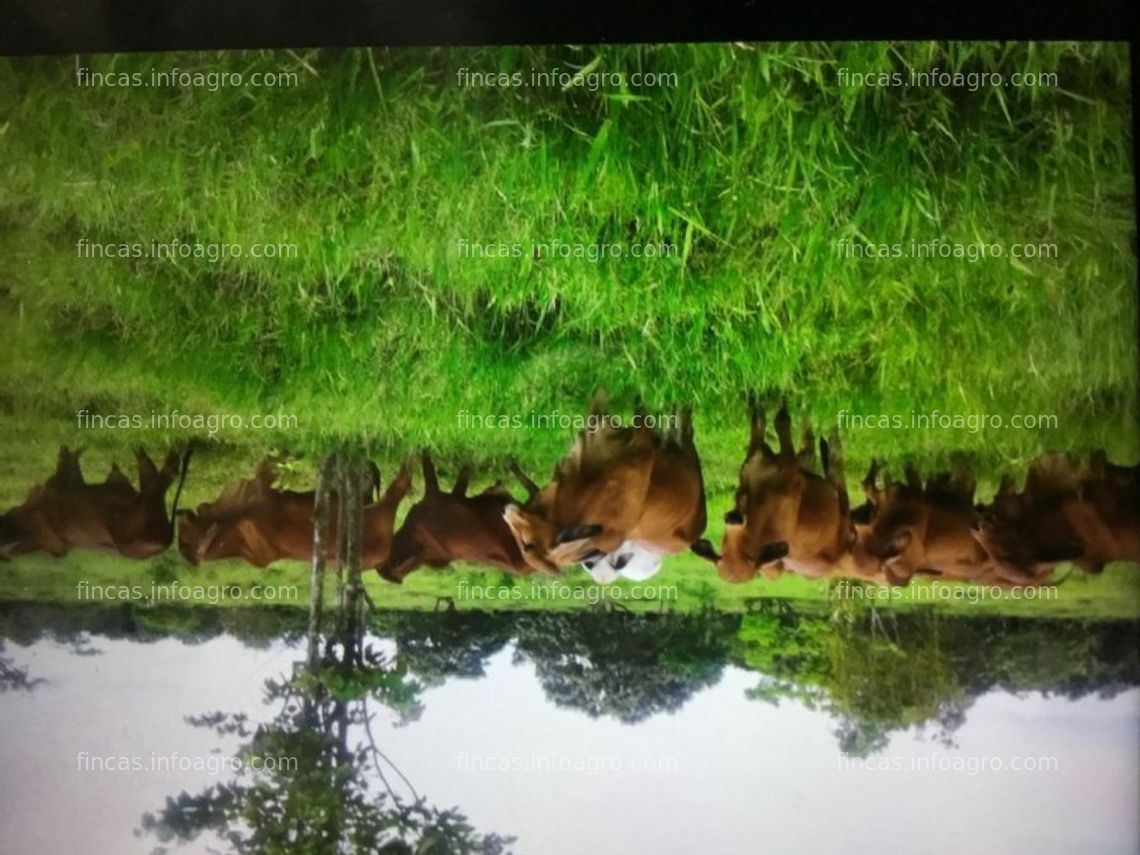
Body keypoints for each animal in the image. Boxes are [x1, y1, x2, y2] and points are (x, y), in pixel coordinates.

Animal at [688, 401, 857, 583]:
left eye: (749, 556)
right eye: (721, 558)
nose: (733, 519)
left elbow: (769, 420)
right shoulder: (776, 466)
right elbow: (770, 421)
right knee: (826, 463)